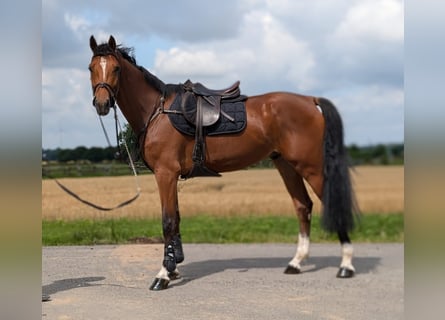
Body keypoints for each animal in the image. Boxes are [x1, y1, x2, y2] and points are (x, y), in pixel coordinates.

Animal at [87, 35, 358, 290]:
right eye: (91, 68)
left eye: (116, 68)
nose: (101, 104)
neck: (157, 112)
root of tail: (310, 100)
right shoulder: (172, 176)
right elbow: (176, 218)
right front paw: (174, 266)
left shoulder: (165, 173)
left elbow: (168, 221)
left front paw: (163, 275)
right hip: (287, 165)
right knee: (303, 206)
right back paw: (296, 262)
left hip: (311, 167)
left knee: (330, 203)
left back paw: (346, 265)